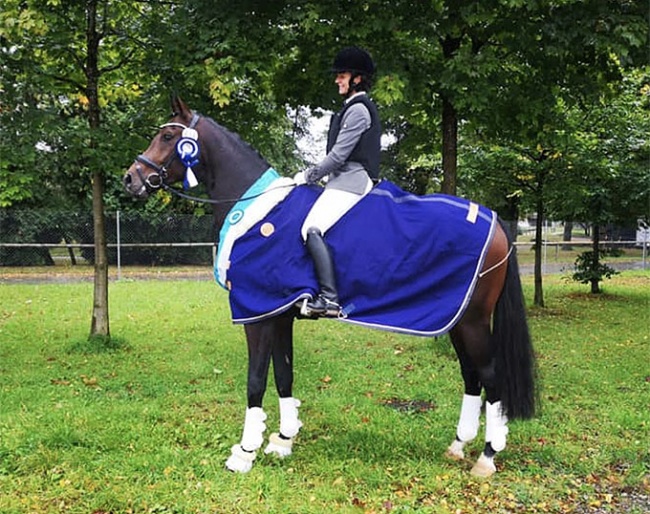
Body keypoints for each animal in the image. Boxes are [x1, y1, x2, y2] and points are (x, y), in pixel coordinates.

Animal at [124, 95, 536, 476]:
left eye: (166, 136)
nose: (131, 179)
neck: (257, 210)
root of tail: (496, 223)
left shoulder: (257, 313)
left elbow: (255, 380)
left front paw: (245, 452)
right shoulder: (279, 312)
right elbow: (284, 374)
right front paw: (283, 440)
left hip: (474, 321)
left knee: (491, 378)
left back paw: (487, 457)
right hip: (457, 319)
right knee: (471, 376)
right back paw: (458, 446)